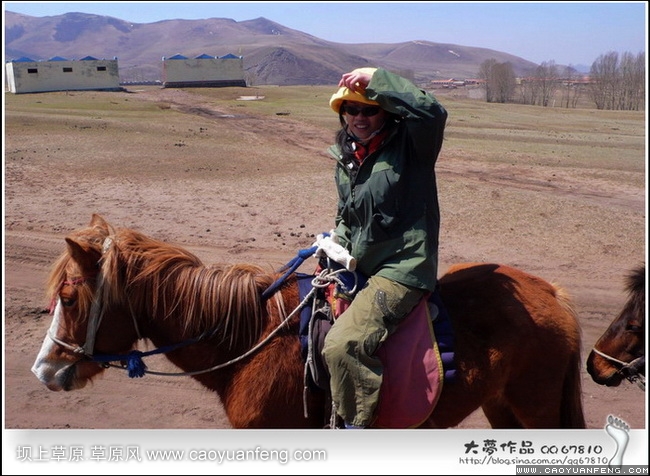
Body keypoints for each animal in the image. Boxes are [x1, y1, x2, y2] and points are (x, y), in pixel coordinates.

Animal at [31, 214, 584, 430]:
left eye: (69, 297)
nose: (45, 369)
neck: (250, 339)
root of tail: (551, 292)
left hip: (536, 408)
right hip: (501, 405)